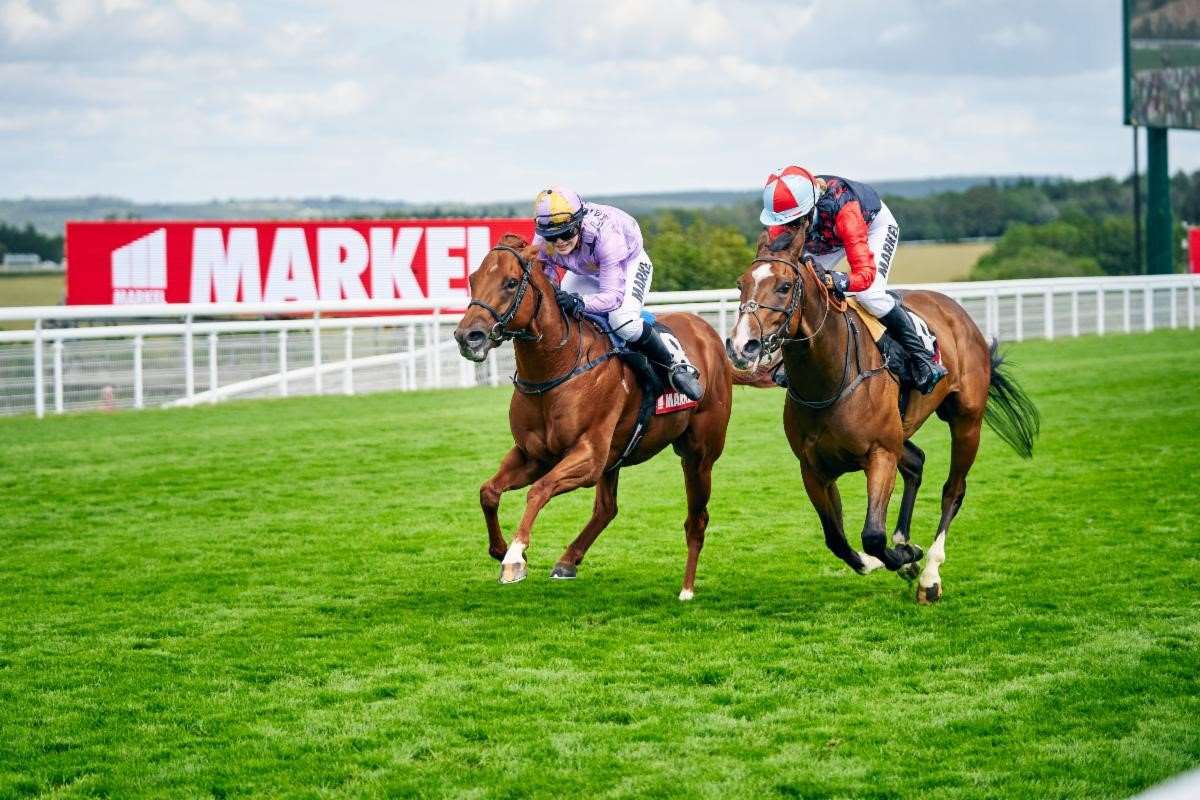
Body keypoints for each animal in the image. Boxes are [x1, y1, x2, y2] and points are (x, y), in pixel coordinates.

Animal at [451, 235, 729, 597]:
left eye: (511, 283)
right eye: (472, 279)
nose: (468, 337)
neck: (556, 367)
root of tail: (705, 330)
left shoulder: (588, 455)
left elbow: (538, 490)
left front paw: (515, 556)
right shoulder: (533, 455)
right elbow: (488, 491)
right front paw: (499, 549)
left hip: (699, 454)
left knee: (697, 520)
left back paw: (687, 589)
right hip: (616, 456)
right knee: (607, 508)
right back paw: (568, 560)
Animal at [724, 230, 1036, 599]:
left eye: (784, 286)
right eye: (741, 284)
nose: (742, 346)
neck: (828, 381)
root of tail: (957, 312)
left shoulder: (881, 453)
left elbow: (872, 534)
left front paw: (906, 558)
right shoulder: (813, 468)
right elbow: (837, 539)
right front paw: (894, 558)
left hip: (966, 421)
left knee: (953, 490)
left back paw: (930, 574)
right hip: (903, 431)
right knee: (916, 463)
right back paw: (906, 546)